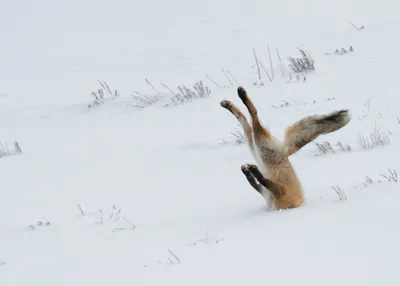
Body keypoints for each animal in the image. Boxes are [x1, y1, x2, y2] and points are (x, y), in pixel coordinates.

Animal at [220, 86, 352, 211]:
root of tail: (285, 152)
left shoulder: (278, 192)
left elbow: (261, 181)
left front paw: (252, 171)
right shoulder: (270, 192)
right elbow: (256, 182)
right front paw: (249, 171)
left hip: (259, 147)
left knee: (253, 117)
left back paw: (240, 97)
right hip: (255, 146)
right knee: (246, 120)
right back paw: (229, 103)